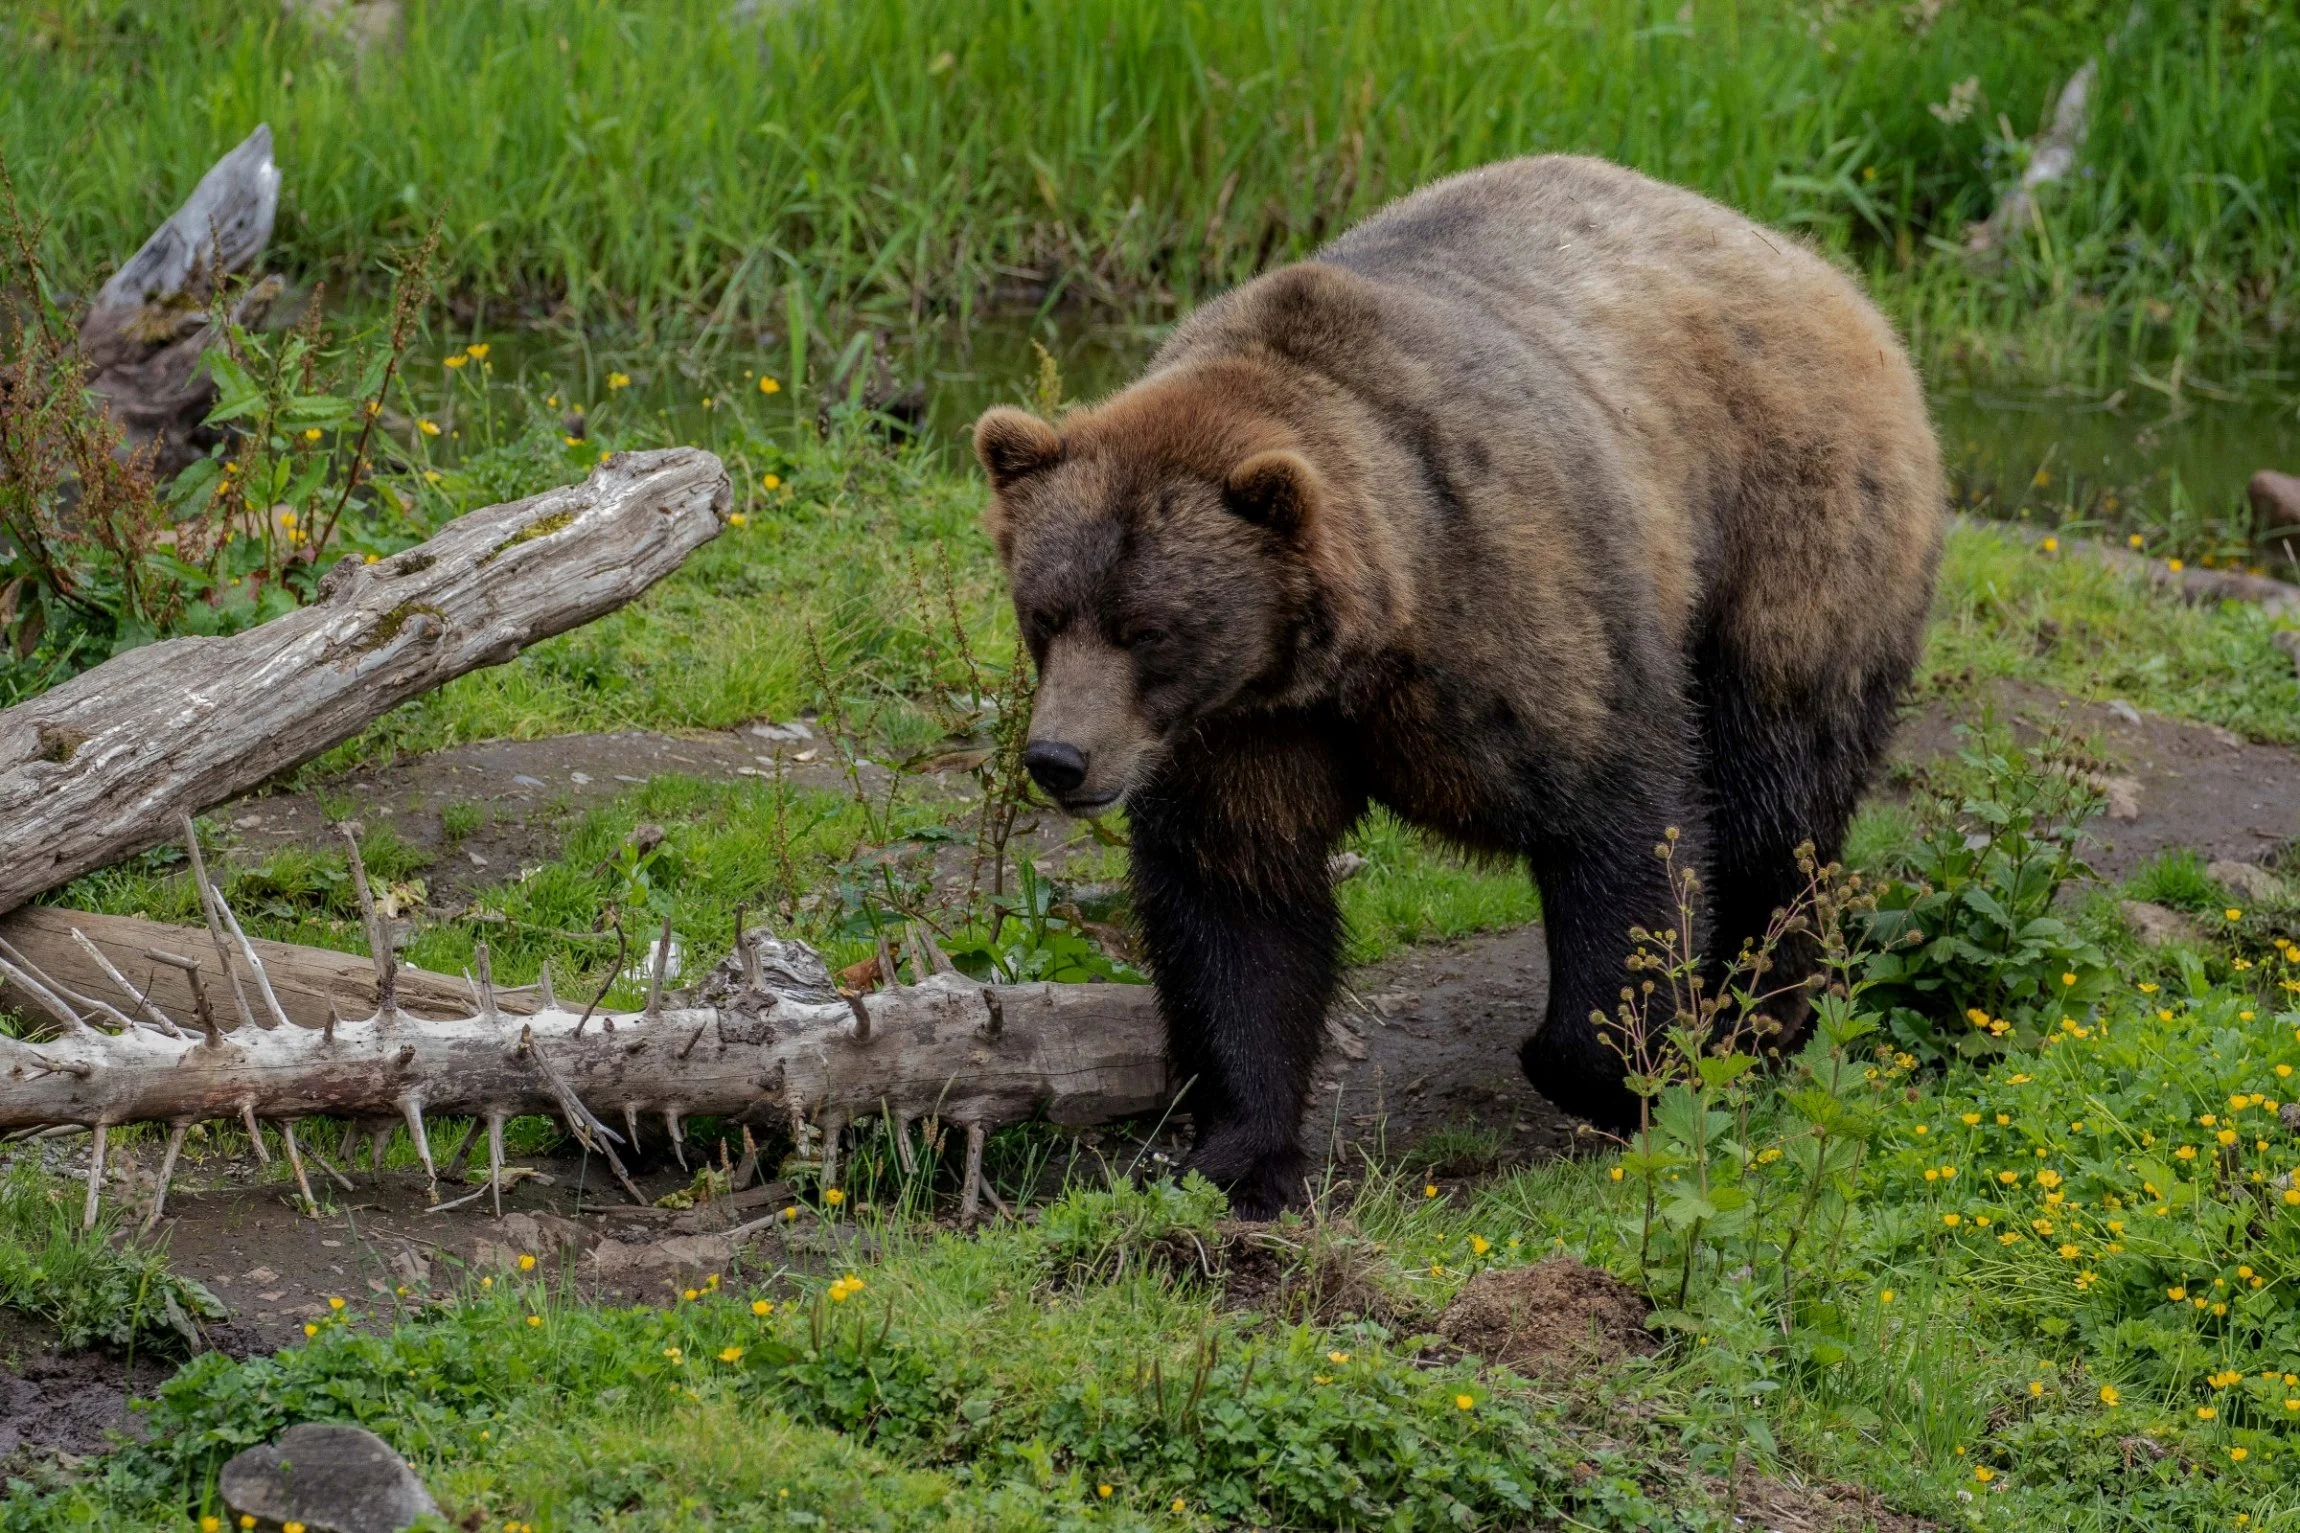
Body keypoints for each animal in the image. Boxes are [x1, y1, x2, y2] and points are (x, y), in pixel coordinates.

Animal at [973, 155, 1943, 1218]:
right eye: (1045, 613)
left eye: (1147, 628)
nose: (1060, 758)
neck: (1360, 641)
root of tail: (1827, 275)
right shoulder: (1243, 728)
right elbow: (1238, 900)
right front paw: (1237, 1156)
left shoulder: (1517, 611)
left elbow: (1622, 826)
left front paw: (1614, 1070)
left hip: (1787, 530)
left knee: (1779, 793)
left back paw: (1751, 1023)